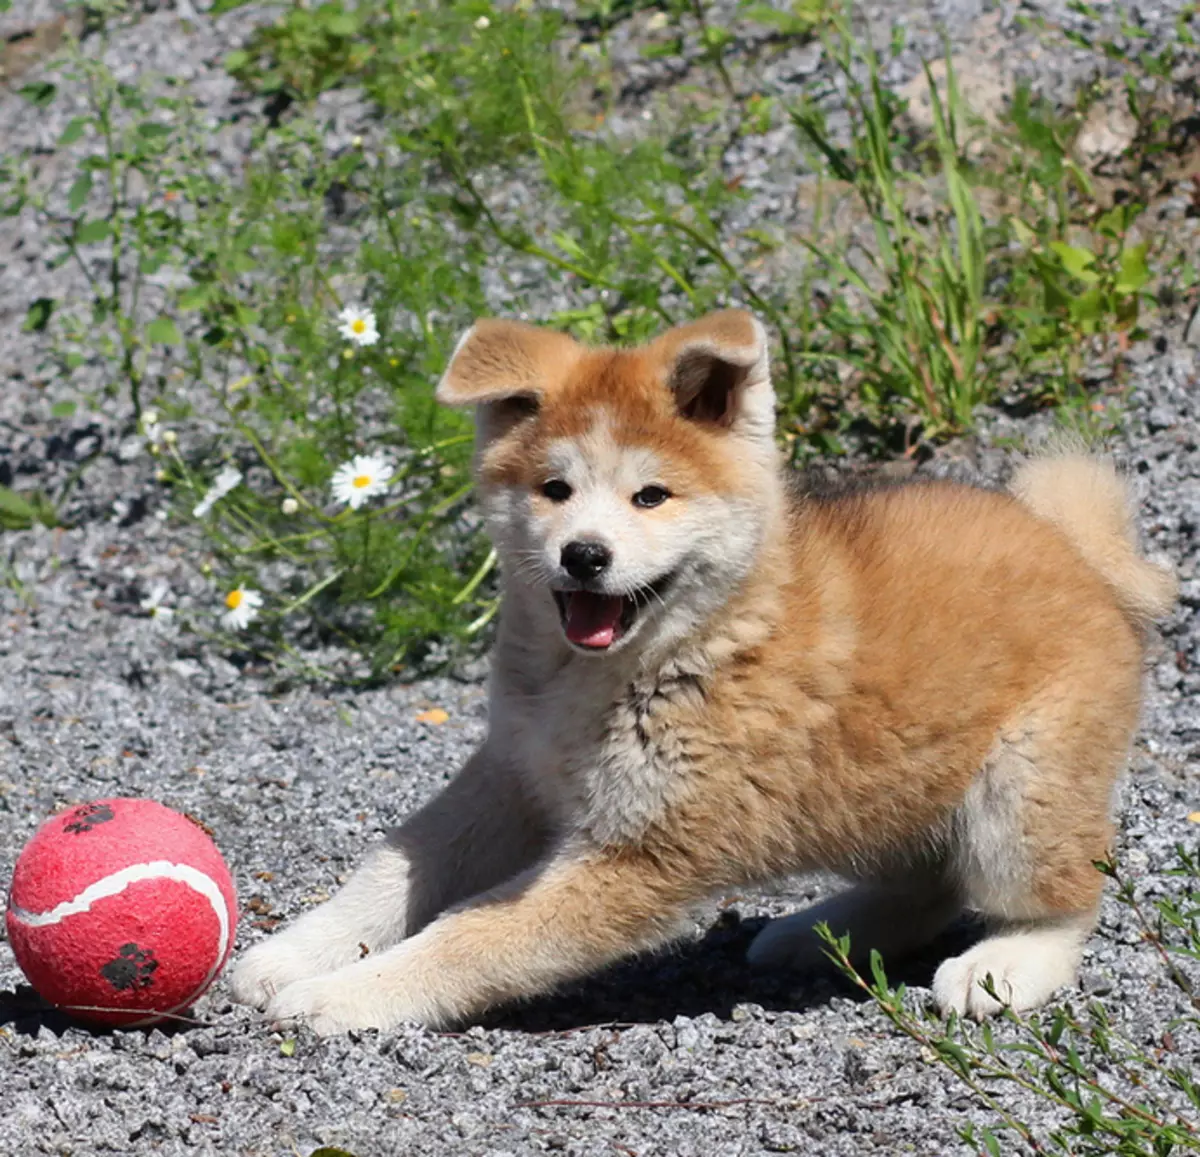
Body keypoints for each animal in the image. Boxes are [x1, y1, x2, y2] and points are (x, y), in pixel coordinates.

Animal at [229, 309, 1176, 1041]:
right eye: (553, 488)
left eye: (652, 495)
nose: (584, 554)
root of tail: (1077, 553)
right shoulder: (513, 773)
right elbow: (389, 870)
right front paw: (291, 954)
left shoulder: (642, 850)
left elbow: (472, 935)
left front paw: (345, 994)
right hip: (887, 782)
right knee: (931, 881)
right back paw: (818, 930)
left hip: (1018, 788)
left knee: (1061, 896)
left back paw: (1005, 964)